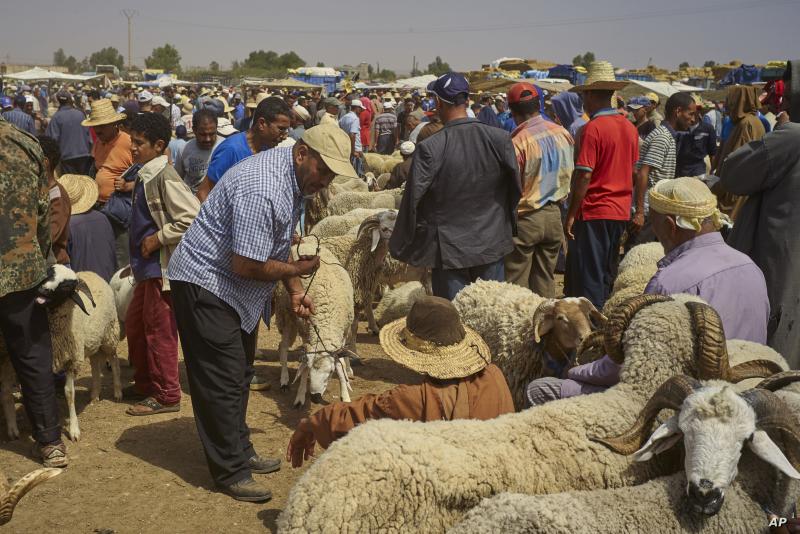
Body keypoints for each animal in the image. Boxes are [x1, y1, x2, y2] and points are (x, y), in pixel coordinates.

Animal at [0, 272, 122, 444]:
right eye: (49, 273)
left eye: (67, 286)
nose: (42, 290)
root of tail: (92, 273)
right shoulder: (12, 361)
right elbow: (13, 393)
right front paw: (16, 428)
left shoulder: (72, 359)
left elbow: (69, 393)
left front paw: (74, 430)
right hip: (91, 340)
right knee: (95, 363)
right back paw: (94, 394)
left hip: (109, 332)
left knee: (114, 359)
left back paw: (117, 392)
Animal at [274, 241, 354, 408]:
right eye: (311, 371)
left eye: (330, 373)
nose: (315, 397)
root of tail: (305, 243)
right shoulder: (307, 335)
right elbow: (303, 368)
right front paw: (300, 396)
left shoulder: (342, 335)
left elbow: (341, 364)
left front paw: (345, 394)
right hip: (287, 316)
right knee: (282, 347)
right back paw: (284, 380)